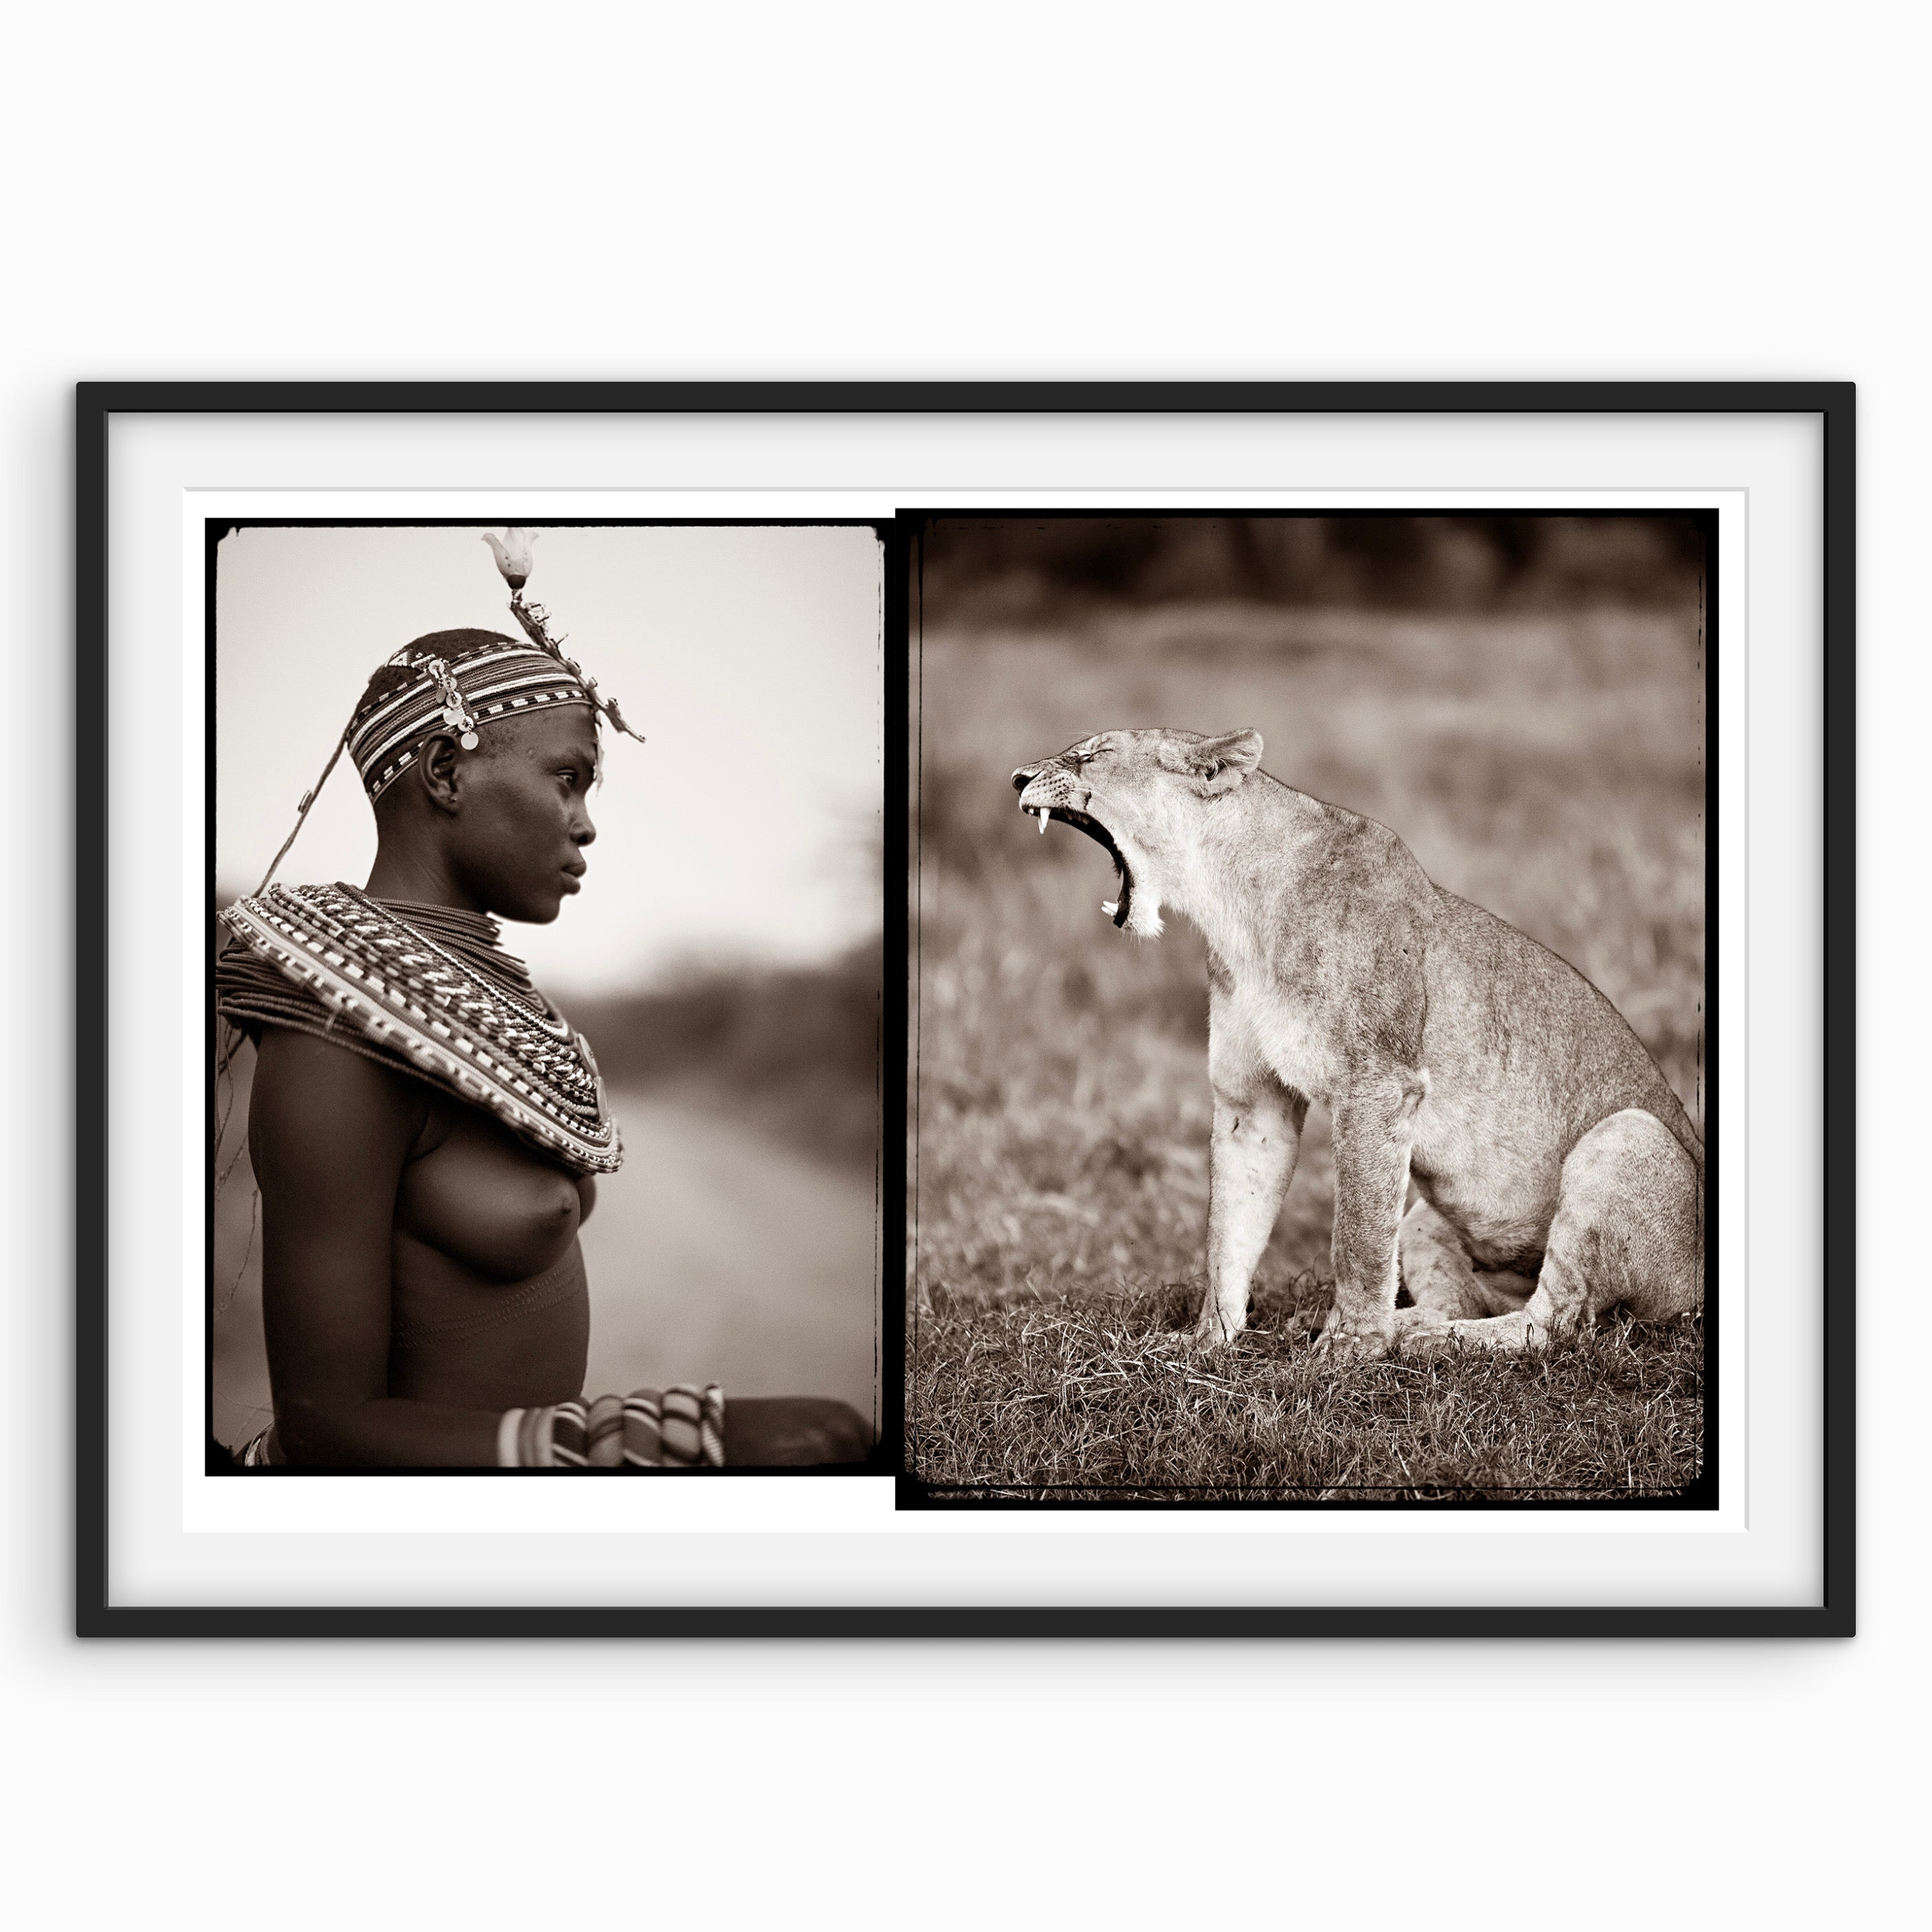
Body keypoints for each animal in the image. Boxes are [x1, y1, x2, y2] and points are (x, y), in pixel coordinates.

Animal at [1011, 728, 1703, 1358]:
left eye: (1091, 755)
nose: (1018, 777)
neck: (1234, 908)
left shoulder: (1378, 1085)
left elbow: (1358, 1235)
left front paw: (1351, 1348)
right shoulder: (1251, 1101)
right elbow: (1230, 1229)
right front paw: (1211, 1340)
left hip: (1633, 1136)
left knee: (1556, 1320)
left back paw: (1429, 1341)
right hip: (1428, 1219)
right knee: (1468, 1294)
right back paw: (1396, 1328)